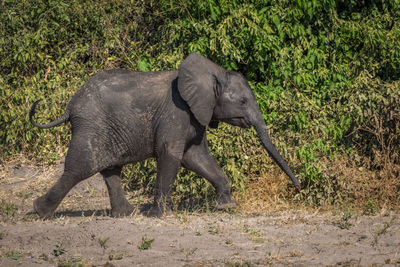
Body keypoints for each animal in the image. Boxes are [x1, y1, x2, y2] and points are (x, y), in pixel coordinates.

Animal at [30, 52, 300, 220]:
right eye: (243, 101)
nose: (298, 187)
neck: (212, 73)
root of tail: (70, 106)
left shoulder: (195, 116)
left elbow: (197, 158)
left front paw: (226, 206)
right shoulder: (177, 111)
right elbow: (171, 155)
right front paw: (158, 215)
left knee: (110, 169)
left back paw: (126, 214)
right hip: (92, 125)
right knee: (79, 168)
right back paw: (40, 212)